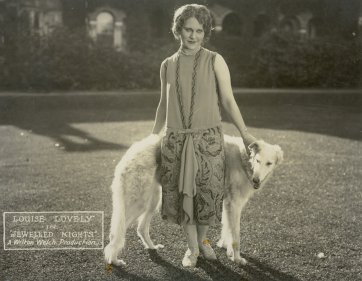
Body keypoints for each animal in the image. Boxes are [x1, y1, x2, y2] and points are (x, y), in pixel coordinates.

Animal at [104, 133, 282, 264]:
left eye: (269, 163)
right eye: (258, 160)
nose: (256, 181)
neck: (244, 159)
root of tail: (128, 156)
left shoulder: (227, 204)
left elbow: (227, 230)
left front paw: (225, 248)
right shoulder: (234, 205)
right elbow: (235, 237)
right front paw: (237, 258)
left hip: (153, 201)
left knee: (140, 228)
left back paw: (152, 247)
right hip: (139, 203)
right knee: (116, 234)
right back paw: (114, 260)